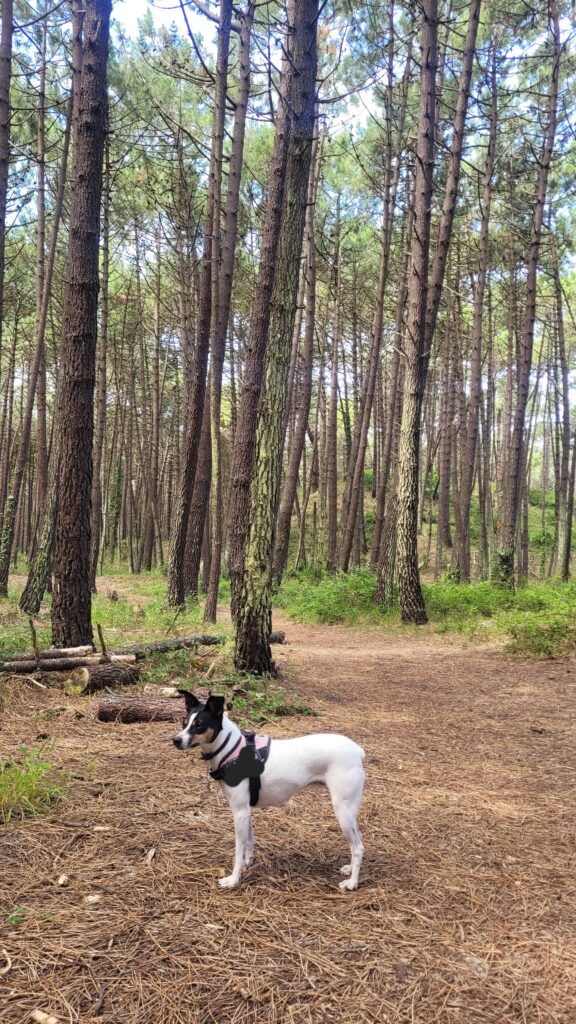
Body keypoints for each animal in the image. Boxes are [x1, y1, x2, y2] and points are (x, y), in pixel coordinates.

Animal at [172, 696, 364, 888]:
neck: (230, 750)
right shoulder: (246, 812)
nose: (175, 740)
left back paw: (352, 882)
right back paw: (349, 869)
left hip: (342, 811)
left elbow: (238, 849)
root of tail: (357, 751)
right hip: (350, 812)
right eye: (184, 722)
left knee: (357, 847)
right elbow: (249, 841)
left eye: (199, 724)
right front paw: (248, 863)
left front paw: (234, 879)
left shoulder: (239, 812)